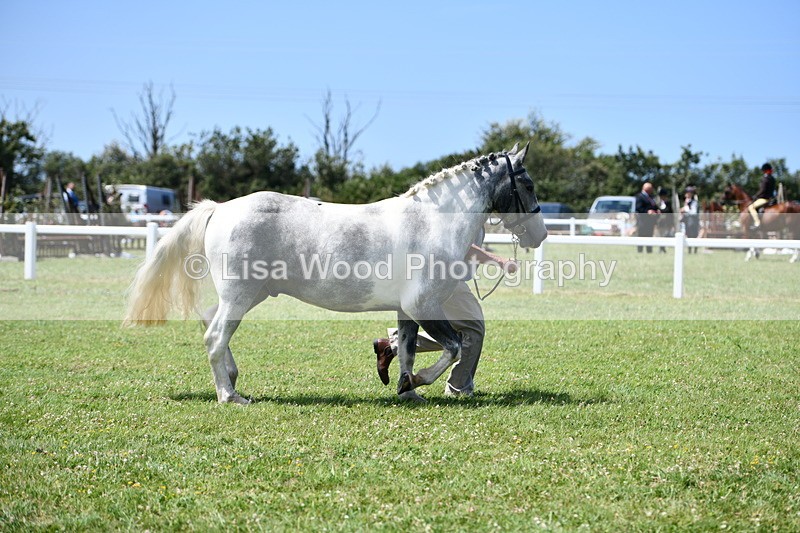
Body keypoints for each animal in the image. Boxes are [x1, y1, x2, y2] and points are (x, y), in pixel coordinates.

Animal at [124, 143, 547, 403]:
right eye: (527, 184)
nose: (540, 234)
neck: (430, 223)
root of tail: (220, 208)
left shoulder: (407, 309)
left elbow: (408, 350)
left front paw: (407, 388)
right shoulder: (424, 304)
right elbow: (453, 346)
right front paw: (419, 382)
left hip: (247, 295)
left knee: (211, 323)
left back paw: (232, 376)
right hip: (240, 296)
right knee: (214, 336)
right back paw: (230, 395)